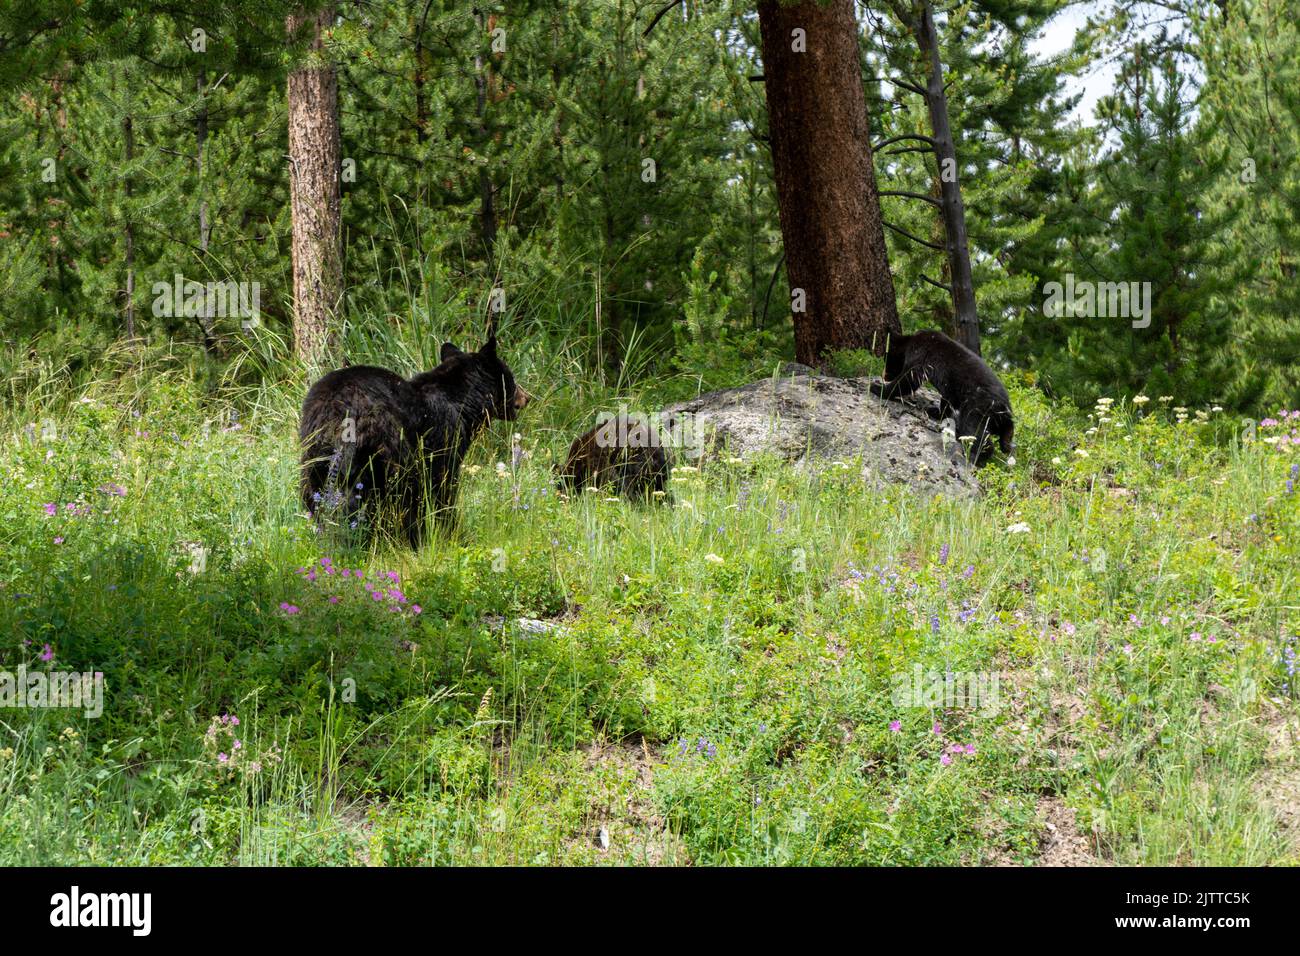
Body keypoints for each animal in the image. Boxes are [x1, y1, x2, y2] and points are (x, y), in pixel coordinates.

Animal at [299, 335, 528, 547]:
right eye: (511, 378)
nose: (527, 397)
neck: (464, 402)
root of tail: (336, 410)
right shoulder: (442, 439)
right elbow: (441, 487)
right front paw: (449, 534)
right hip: (384, 450)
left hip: (314, 450)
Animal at [869, 329, 1014, 466]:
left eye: (886, 359)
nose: (884, 376)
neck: (909, 342)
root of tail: (1003, 408)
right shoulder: (949, 386)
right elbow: (947, 400)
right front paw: (936, 411)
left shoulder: (921, 354)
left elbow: (909, 378)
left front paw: (877, 388)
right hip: (999, 418)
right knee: (1006, 430)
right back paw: (1006, 443)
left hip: (978, 407)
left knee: (973, 429)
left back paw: (975, 456)